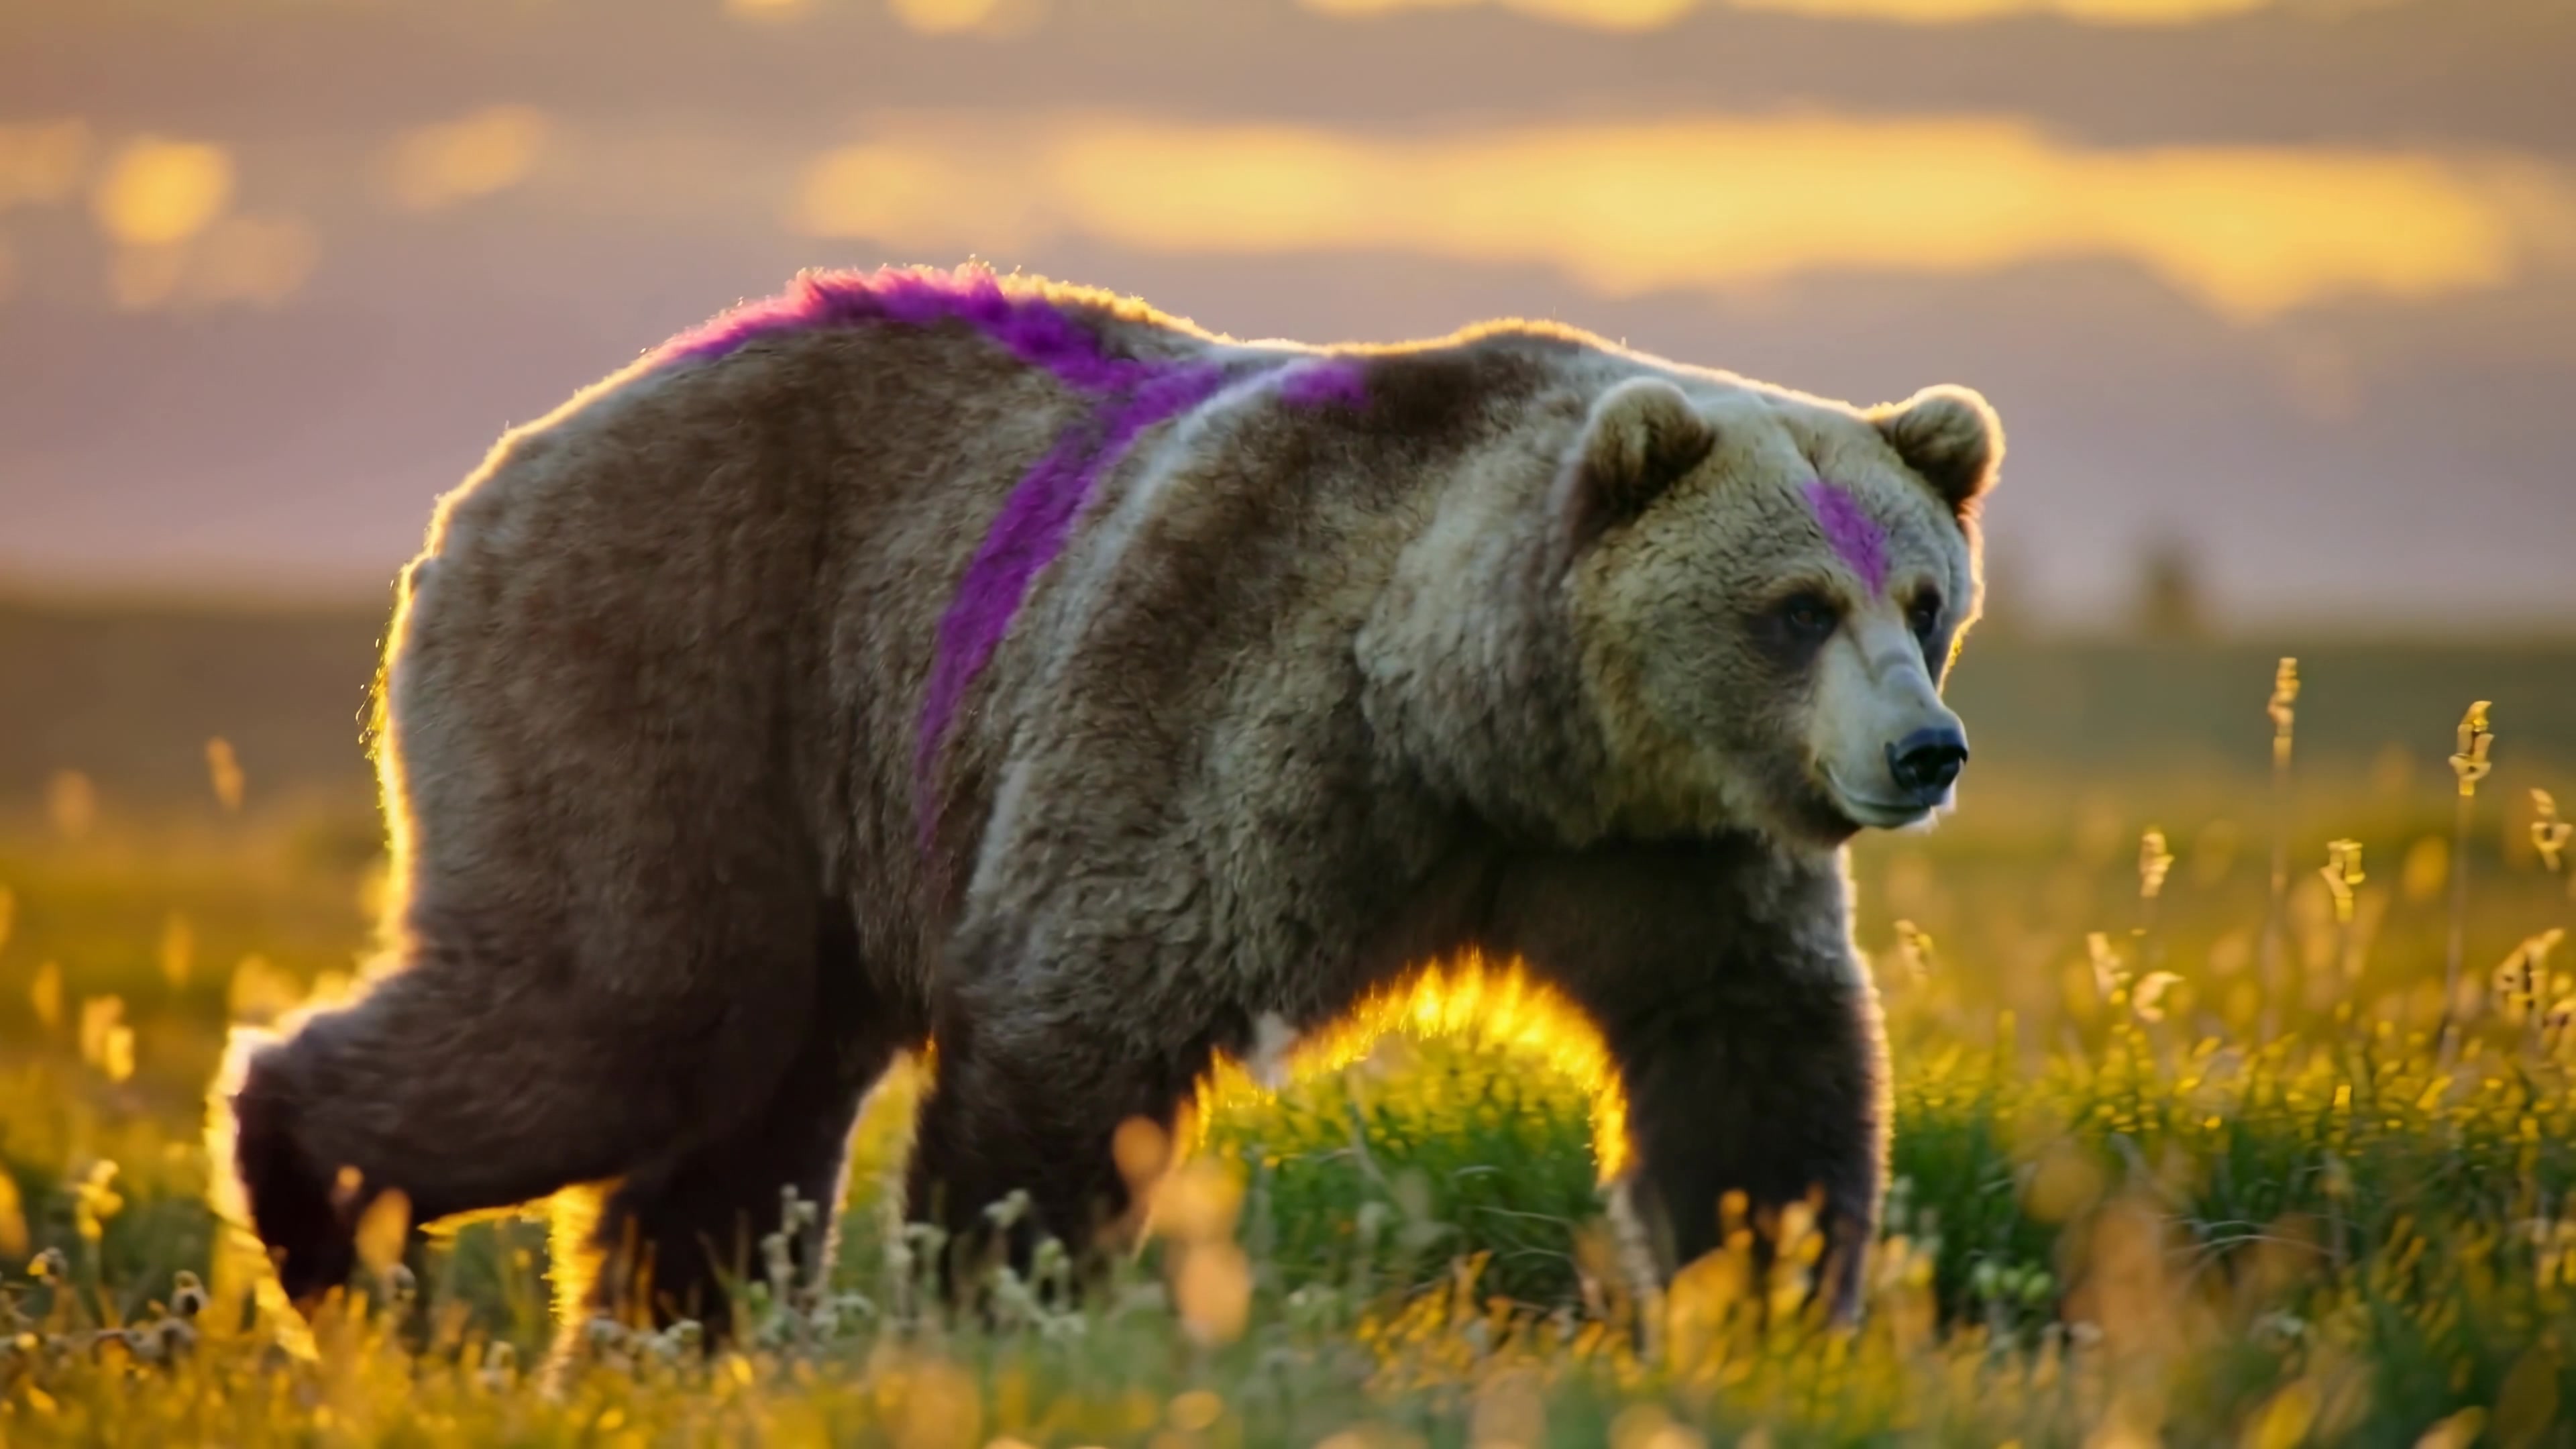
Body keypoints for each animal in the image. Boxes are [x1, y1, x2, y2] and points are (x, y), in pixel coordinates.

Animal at [212, 262, 2000, 1345]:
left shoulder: (1659, 851)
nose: (1926, 751)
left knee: (748, 1094)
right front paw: (995, 1304)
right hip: (673, 664)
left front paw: (1770, 1299)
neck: (1475, 727)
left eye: (1922, 598)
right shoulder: (1224, 716)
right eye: (1795, 606)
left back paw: (670, 1333)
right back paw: (338, 1235)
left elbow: (1747, 1062)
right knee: (628, 1011)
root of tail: (500, 468)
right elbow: (1082, 1022)